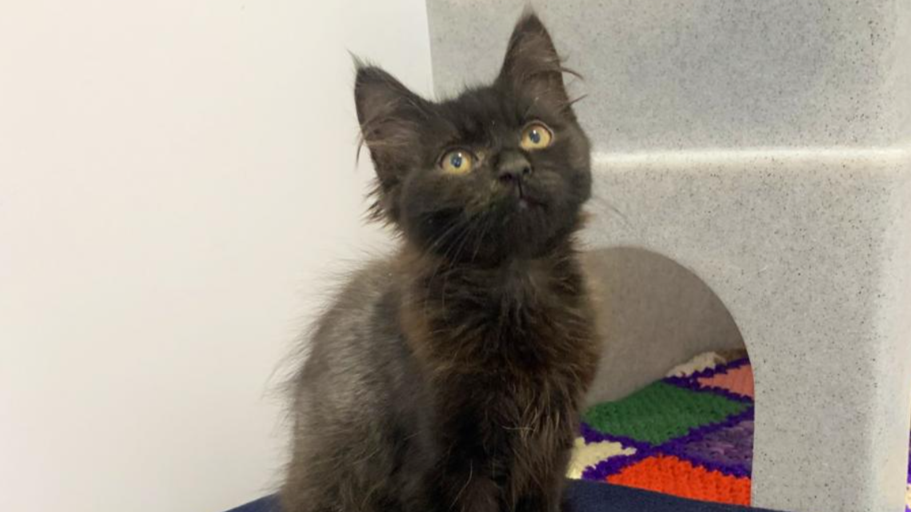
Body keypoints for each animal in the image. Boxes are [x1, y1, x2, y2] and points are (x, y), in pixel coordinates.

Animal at [282, 12, 604, 512]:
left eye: (535, 135)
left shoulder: (550, 449)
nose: (514, 168)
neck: (514, 284)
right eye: (456, 161)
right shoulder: (443, 463)